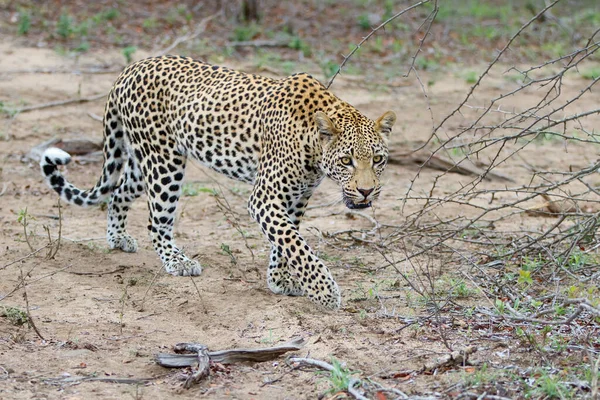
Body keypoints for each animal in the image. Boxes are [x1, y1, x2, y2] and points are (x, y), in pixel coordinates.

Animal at [43, 54, 398, 310]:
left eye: (378, 160)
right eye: (346, 160)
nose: (366, 190)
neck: (313, 145)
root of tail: (129, 68)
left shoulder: (296, 197)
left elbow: (285, 240)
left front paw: (279, 279)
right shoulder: (265, 195)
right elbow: (296, 244)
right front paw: (325, 291)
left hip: (144, 163)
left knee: (118, 193)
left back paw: (117, 238)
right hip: (164, 163)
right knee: (156, 220)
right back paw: (178, 262)